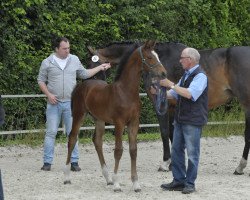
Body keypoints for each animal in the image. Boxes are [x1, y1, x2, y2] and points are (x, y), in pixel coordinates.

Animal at [63, 39, 167, 191]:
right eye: (149, 57)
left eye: (158, 56)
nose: (164, 73)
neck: (126, 92)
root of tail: (82, 85)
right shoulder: (119, 123)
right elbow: (118, 150)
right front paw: (117, 183)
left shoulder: (134, 123)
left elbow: (133, 150)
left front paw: (136, 184)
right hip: (78, 115)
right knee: (72, 139)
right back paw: (67, 177)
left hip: (99, 120)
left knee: (97, 141)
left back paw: (108, 178)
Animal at [87, 41, 250, 175]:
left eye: (92, 64)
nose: (89, 82)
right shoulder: (172, 107)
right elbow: (173, 134)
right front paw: (174, 164)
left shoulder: (160, 105)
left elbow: (165, 132)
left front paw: (165, 164)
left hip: (246, 104)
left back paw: (240, 167)